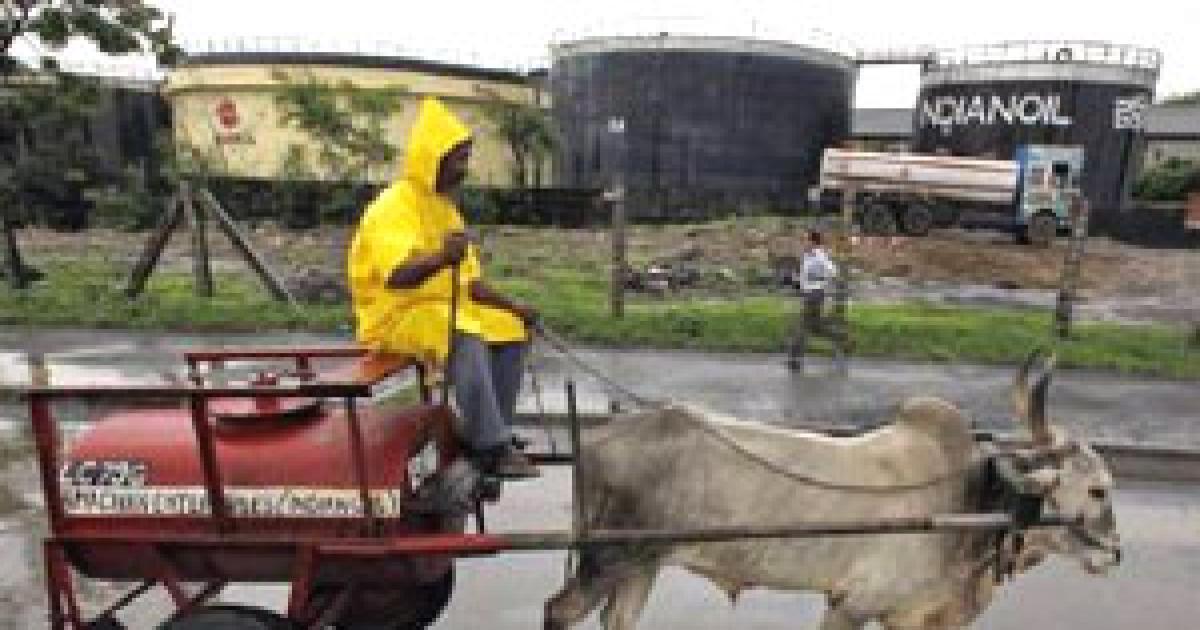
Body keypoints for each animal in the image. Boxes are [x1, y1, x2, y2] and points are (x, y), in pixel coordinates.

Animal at [544, 351, 1121, 630]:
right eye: (1097, 490)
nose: (1115, 555)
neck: (974, 500)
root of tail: (596, 439)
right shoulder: (854, 606)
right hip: (608, 559)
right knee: (559, 611)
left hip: (643, 563)